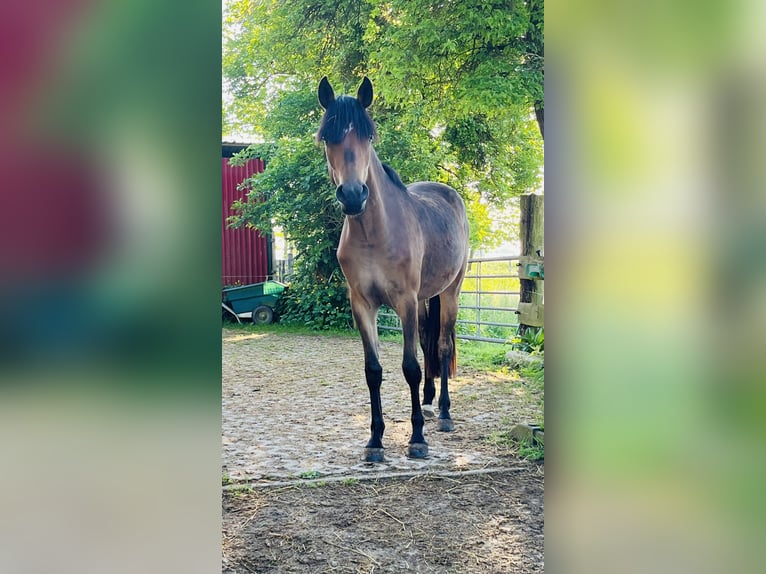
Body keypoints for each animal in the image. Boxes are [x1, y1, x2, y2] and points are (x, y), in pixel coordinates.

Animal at [316, 76, 470, 462]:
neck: (374, 234)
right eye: (327, 137)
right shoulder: (362, 306)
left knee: (441, 347)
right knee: (430, 345)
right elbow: (374, 371)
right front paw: (375, 440)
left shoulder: (405, 302)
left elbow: (410, 368)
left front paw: (416, 439)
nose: (353, 195)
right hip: (427, 298)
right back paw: (428, 403)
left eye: (368, 136)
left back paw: (443, 413)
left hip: (451, 292)